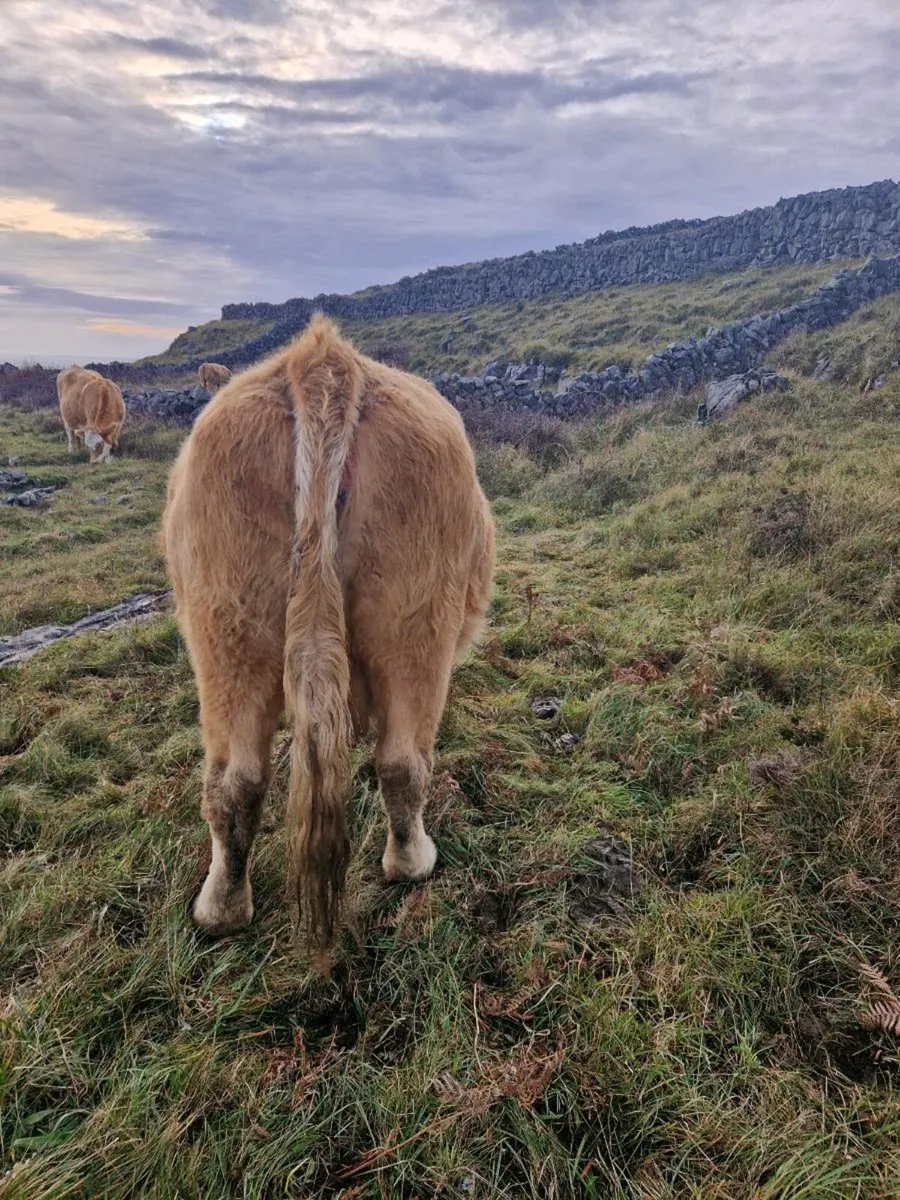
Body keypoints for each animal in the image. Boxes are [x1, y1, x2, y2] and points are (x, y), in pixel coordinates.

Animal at [162, 316, 495, 949]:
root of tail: (322, 364)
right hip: (419, 623)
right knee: (405, 763)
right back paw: (413, 862)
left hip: (228, 627)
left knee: (236, 781)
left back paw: (220, 909)